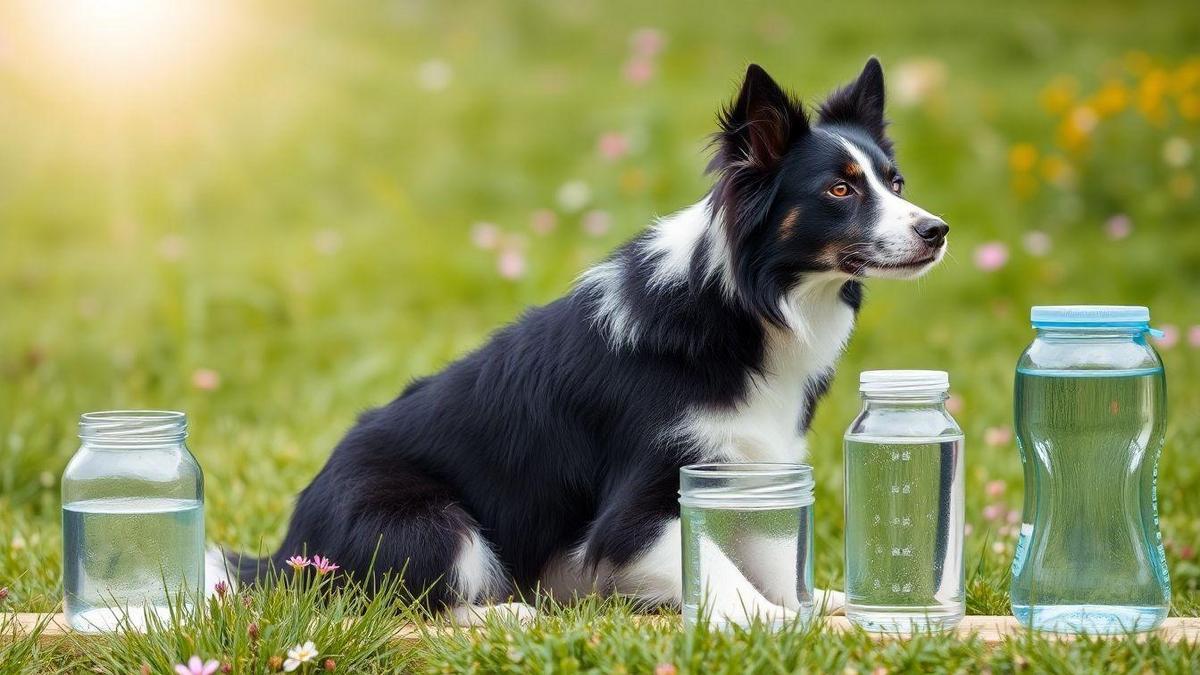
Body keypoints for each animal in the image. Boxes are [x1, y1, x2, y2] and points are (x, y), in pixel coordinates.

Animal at [216, 60, 945, 624]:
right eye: (840, 188)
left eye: (896, 182)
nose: (937, 230)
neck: (746, 306)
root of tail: (286, 553)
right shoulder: (635, 512)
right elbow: (712, 564)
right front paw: (775, 620)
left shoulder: (752, 462)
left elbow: (763, 552)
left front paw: (819, 603)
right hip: (427, 521)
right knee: (409, 598)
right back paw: (503, 613)